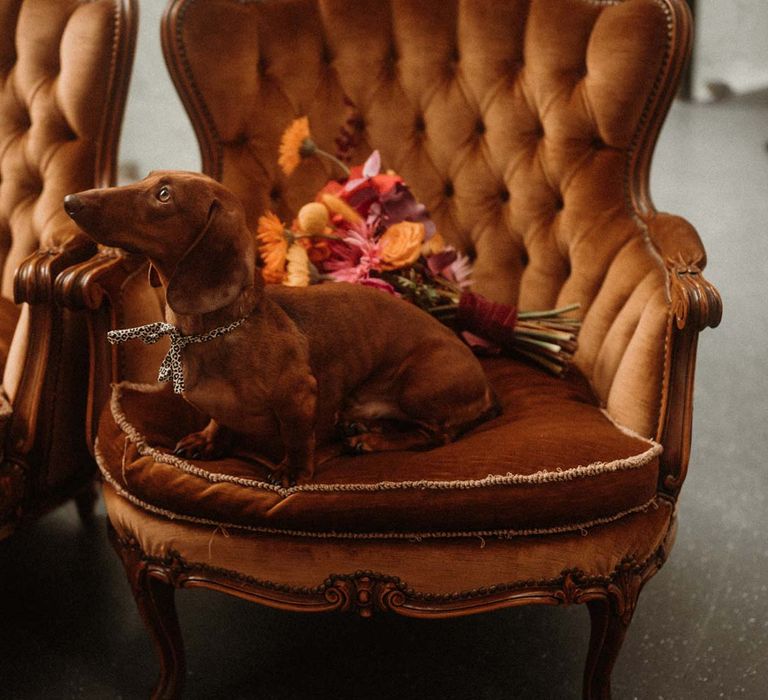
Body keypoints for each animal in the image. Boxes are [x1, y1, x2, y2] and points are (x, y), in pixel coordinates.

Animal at [64, 172, 498, 484]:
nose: (70, 201)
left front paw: (292, 470)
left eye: (164, 195)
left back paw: (370, 438)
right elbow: (219, 420)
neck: (210, 331)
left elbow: (296, 438)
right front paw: (208, 440)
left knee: (434, 435)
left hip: (419, 384)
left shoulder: (299, 397)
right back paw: (362, 423)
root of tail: (486, 388)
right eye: (149, 178)